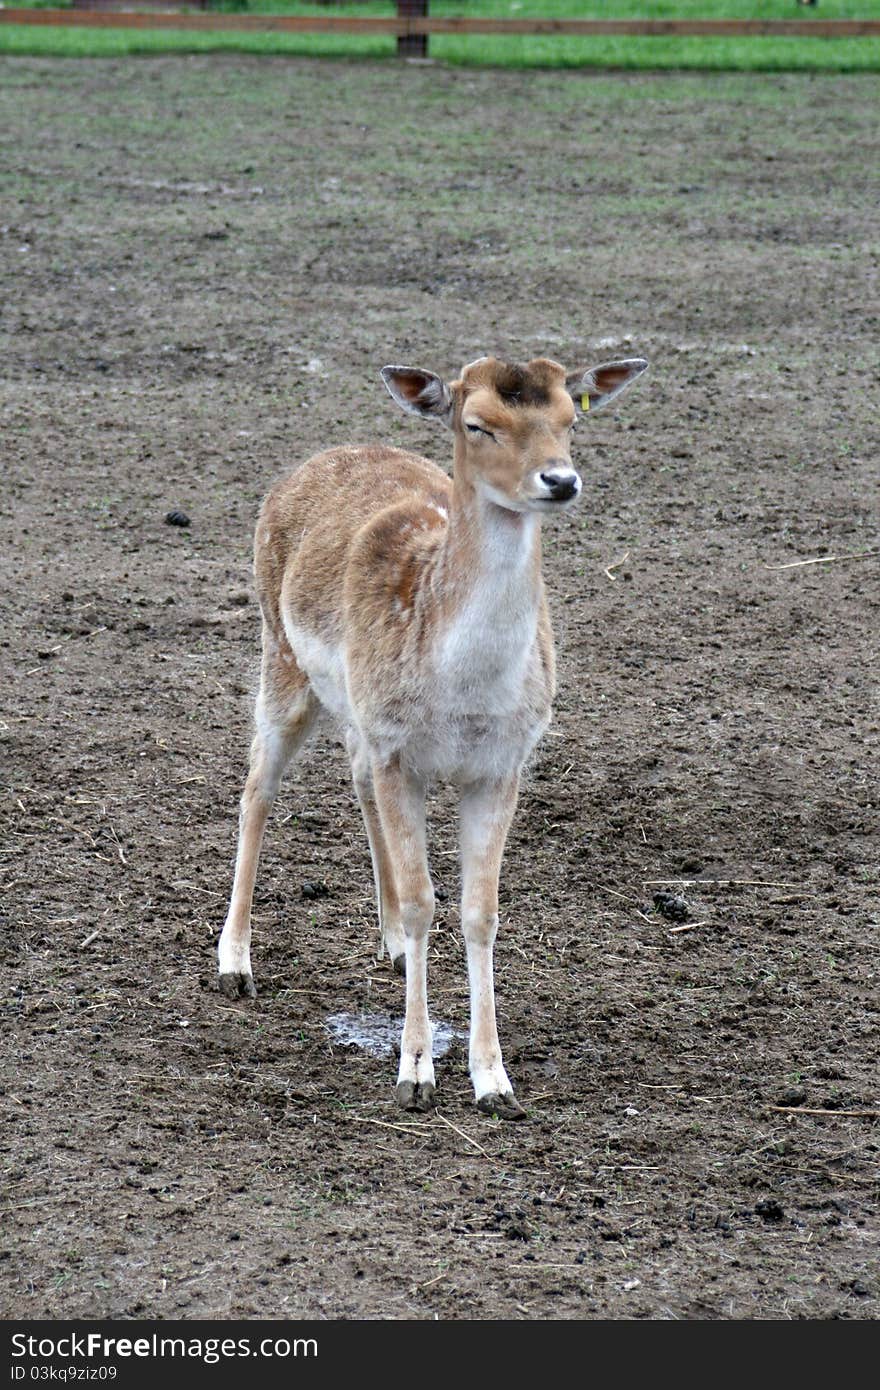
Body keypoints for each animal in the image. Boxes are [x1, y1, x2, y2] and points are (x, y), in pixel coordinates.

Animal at [218, 355, 645, 1117]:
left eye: (571, 417)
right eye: (477, 424)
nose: (560, 480)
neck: (462, 696)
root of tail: (315, 460)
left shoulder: (501, 763)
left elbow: (480, 912)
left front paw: (493, 1079)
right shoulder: (401, 752)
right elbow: (426, 904)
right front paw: (415, 1070)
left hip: (356, 712)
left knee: (354, 776)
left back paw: (386, 942)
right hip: (280, 657)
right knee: (255, 790)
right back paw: (235, 962)